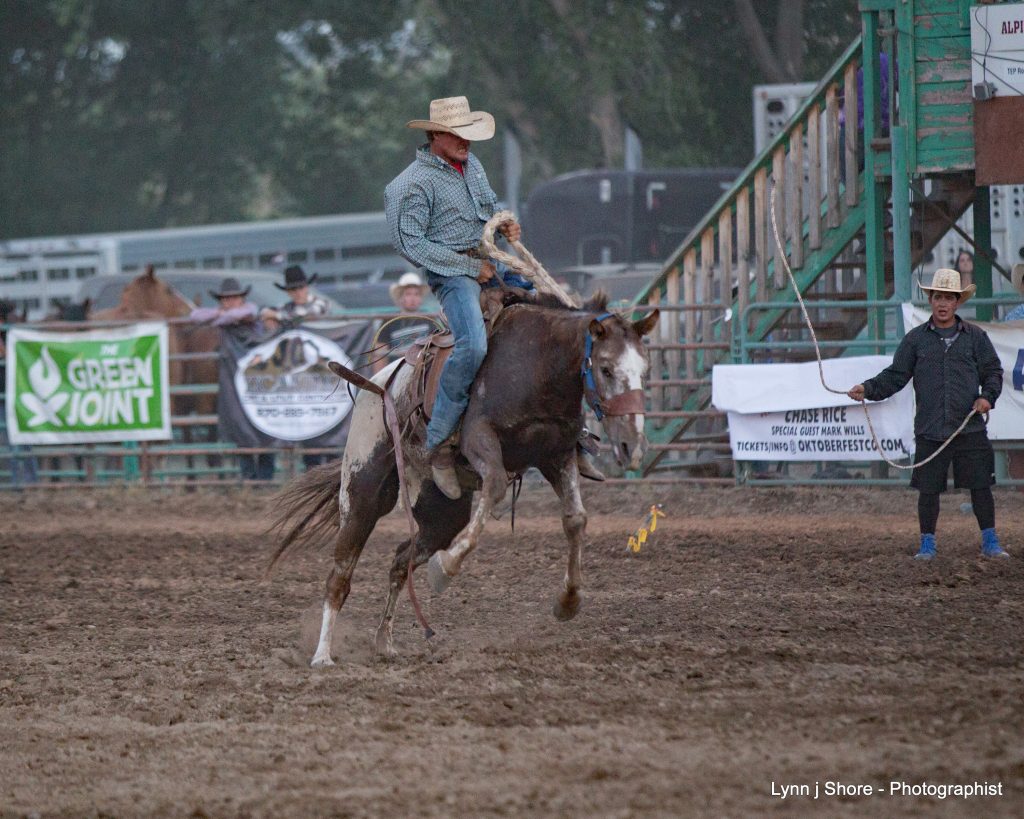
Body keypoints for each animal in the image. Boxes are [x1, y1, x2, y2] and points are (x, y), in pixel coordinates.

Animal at [268, 286, 659, 663]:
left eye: (644, 370)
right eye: (606, 369)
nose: (632, 446)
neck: (539, 363)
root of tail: (379, 385)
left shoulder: (556, 453)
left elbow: (576, 519)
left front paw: (568, 600)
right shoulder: (479, 439)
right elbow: (496, 487)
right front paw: (445, 568)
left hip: (442, 512)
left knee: (400, 560)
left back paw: (385, 642)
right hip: (362, 490)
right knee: (340, 575)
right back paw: (322, 655)